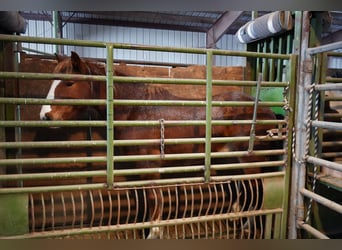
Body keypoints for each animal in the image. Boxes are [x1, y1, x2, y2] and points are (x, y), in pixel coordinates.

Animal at [40, 51, 280, 238]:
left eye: (69, 82)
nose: (45, 116)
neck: (135, 111)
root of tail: (266, 110)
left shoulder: (150, 165)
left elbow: (154, 197)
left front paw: (154, 232)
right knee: (244, 187)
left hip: (250, 160)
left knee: (258, 189)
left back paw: (249, 225)